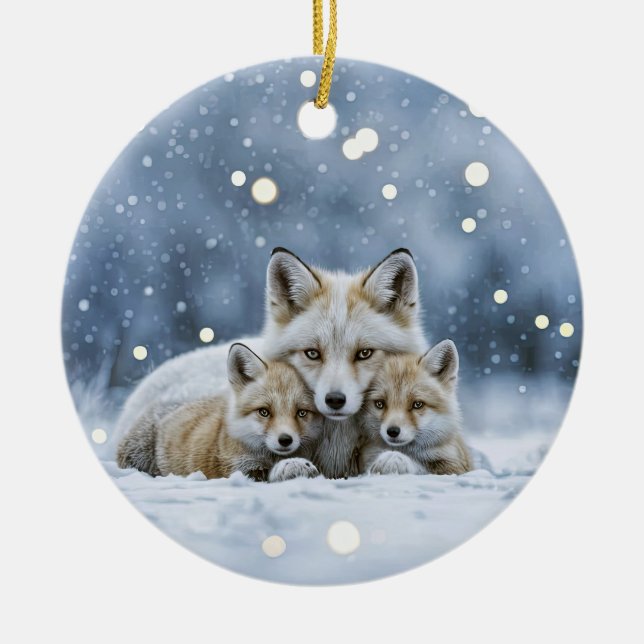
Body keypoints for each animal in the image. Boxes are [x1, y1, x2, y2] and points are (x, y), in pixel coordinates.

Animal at [116, 343, 323, 482]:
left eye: (301, 413)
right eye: (264, 412)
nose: (285, 440)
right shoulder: (238, 468)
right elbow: (266, 473)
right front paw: (293, 466)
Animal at [359, 340, 473, 476]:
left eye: (417, 404)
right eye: (379, 404)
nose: (393, 431)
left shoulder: (455, 465)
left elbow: (422, 467)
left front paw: (393, 458)